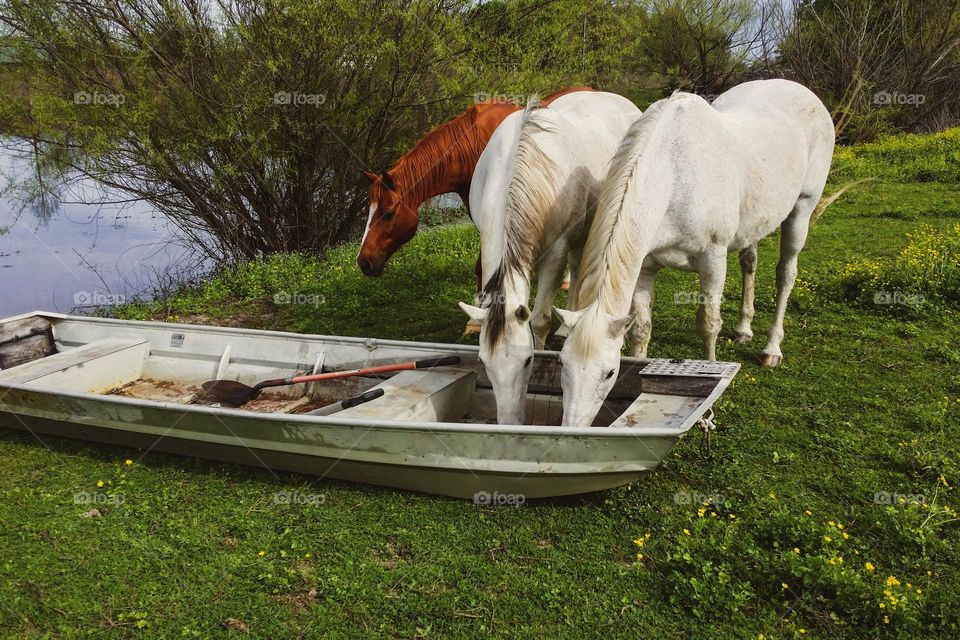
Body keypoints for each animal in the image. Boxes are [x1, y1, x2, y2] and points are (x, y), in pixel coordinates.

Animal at [556, 81, 832, 430]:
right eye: (561, 363)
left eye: (608, 372)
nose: (572, 426)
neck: (675, 175)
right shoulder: (645, 267)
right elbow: (641, 328)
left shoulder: (713, 260)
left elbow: (708, 324)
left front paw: (709, 407)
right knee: (750, 264)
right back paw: (743, 330)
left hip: (802, 209)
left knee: (786, 274)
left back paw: (772, 348)